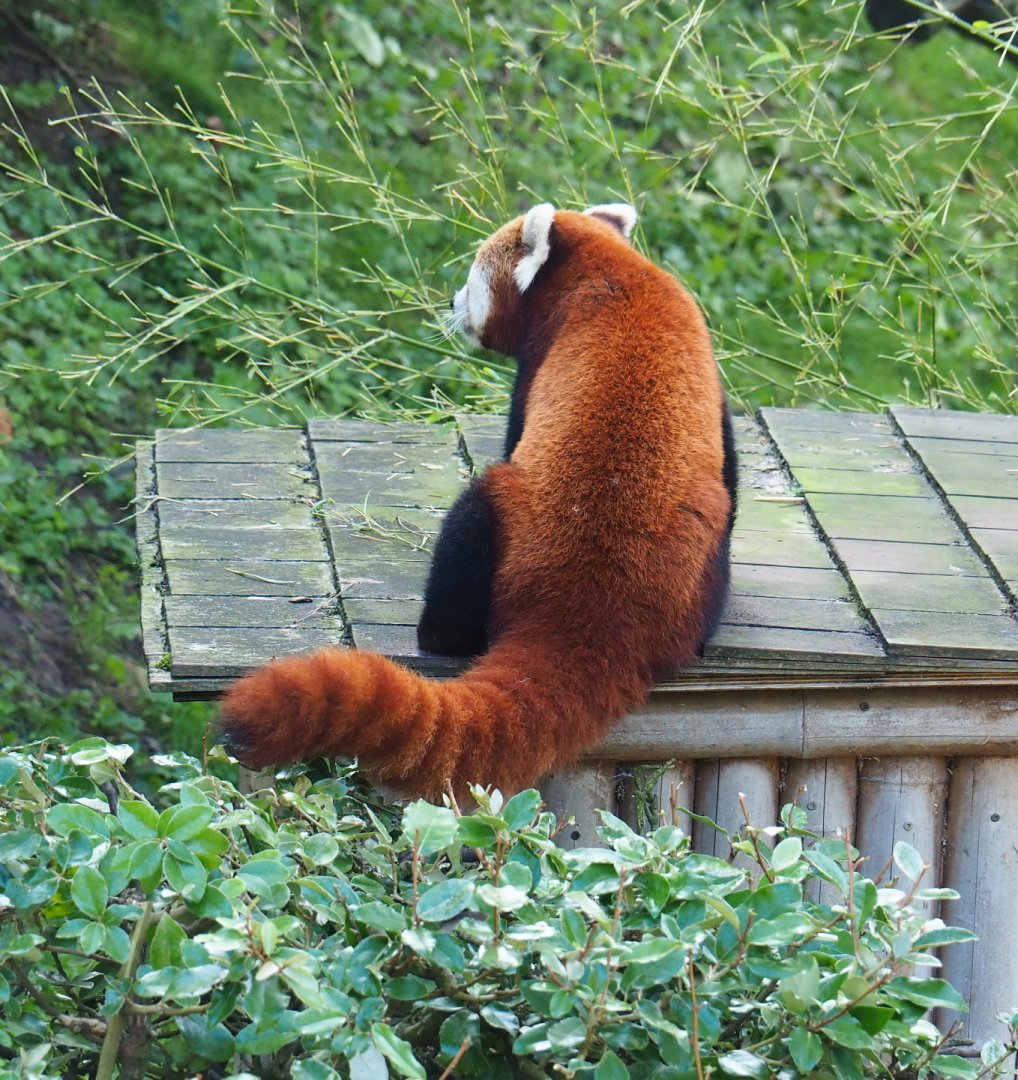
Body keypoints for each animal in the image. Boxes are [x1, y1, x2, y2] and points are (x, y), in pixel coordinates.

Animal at [220, 202, 736, 800]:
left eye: (470, 279)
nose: (450, 303)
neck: (610, 270)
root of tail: (588, 614)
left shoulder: (539, 359)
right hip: (703, 556)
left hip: (504, 521)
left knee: (471, 519)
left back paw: (437, 633)